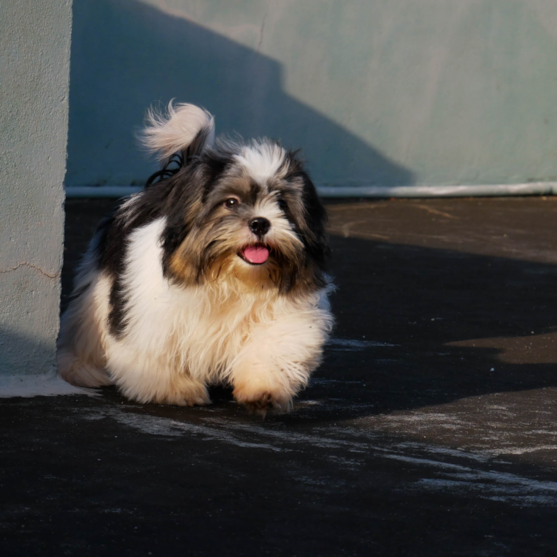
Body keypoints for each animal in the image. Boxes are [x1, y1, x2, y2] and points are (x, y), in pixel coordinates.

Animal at [58, 102, 332, 410]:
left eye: (282, 204)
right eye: (231, 202)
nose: (260, 223)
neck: (231, 278)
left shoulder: (286, 314)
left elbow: (276, 343)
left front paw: (263, 388)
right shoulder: (153, 314)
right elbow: (156, 351)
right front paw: (176, 389)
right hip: (99, 287)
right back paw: (80, 368)